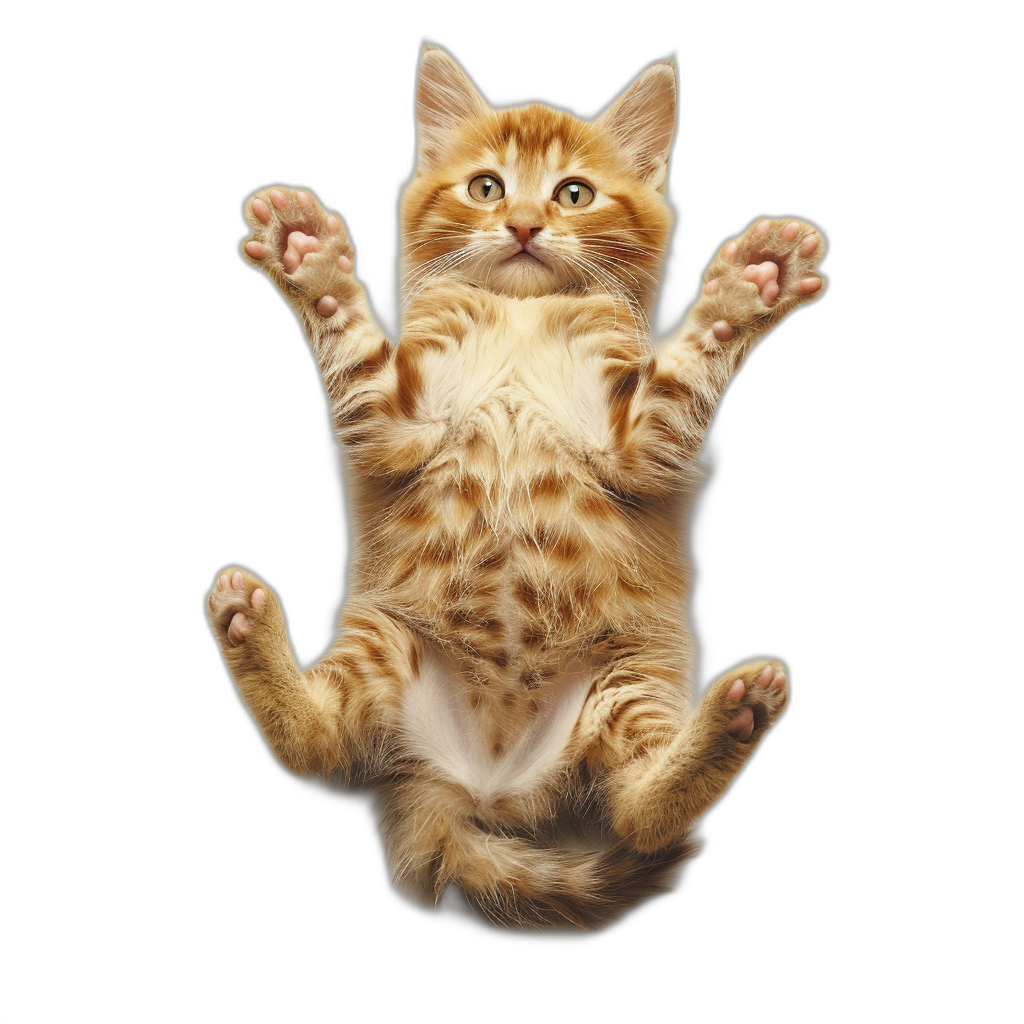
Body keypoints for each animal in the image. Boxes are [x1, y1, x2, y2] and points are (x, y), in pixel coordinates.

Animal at [205, 41, 823, 937]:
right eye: (487, 186)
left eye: (574, 194)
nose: (525, 224)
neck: (520, 317)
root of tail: (481, 789)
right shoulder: (395, 426)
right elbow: (352, 354)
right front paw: (310, 264)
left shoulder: (641, 447)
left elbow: (686, 377)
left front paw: (746, 292)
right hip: (386, 638)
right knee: (317, 746)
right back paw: (249, 627)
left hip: (627, 679)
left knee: (640, 810)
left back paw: (731, 718)